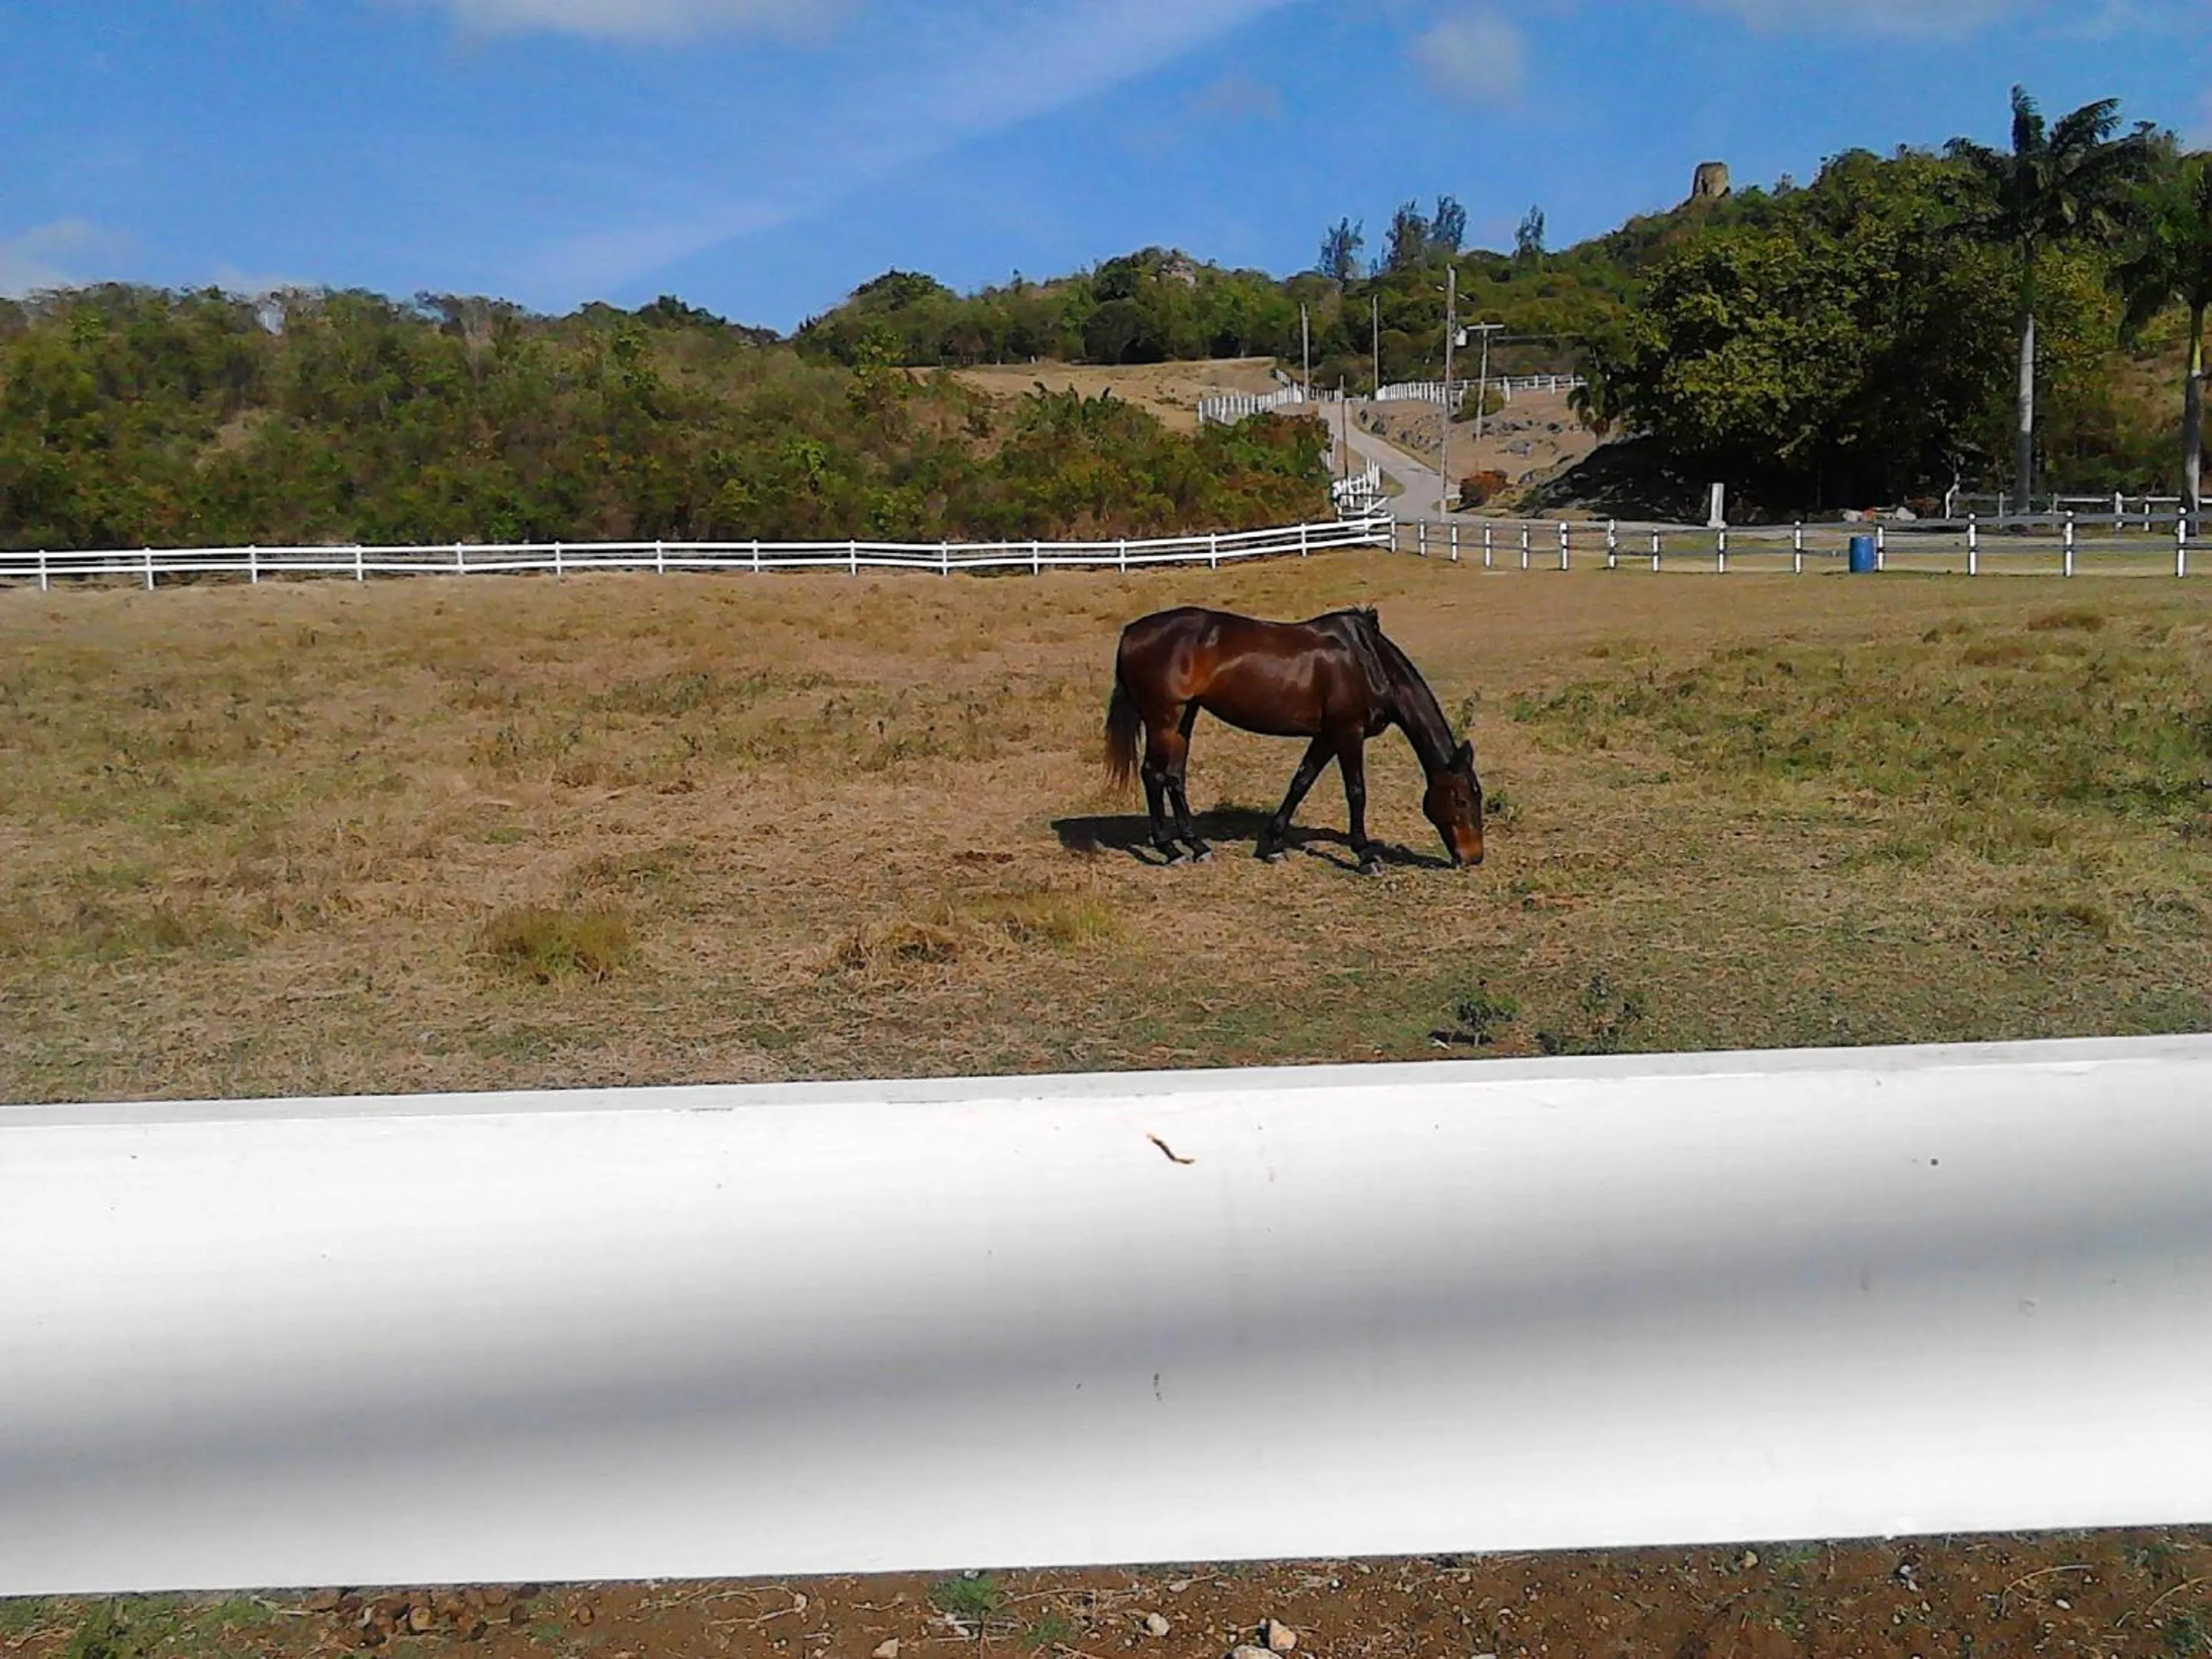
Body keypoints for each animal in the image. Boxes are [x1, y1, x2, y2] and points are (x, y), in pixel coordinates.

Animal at [1102, 604, 1484, 876]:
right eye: (1462, 799)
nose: (1473, 857)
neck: (1368, 662)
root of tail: (1131, 633)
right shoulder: (1348, 732)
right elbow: (1356, 792)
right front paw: (1365, 856)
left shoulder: (1327, 736)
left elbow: (1301, 782)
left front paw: (1272, 846)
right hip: (1163, 719)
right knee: (1153, 775)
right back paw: (1170, 850)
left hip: (1185, 716)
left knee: (1174, 777)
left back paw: (1198, 847)